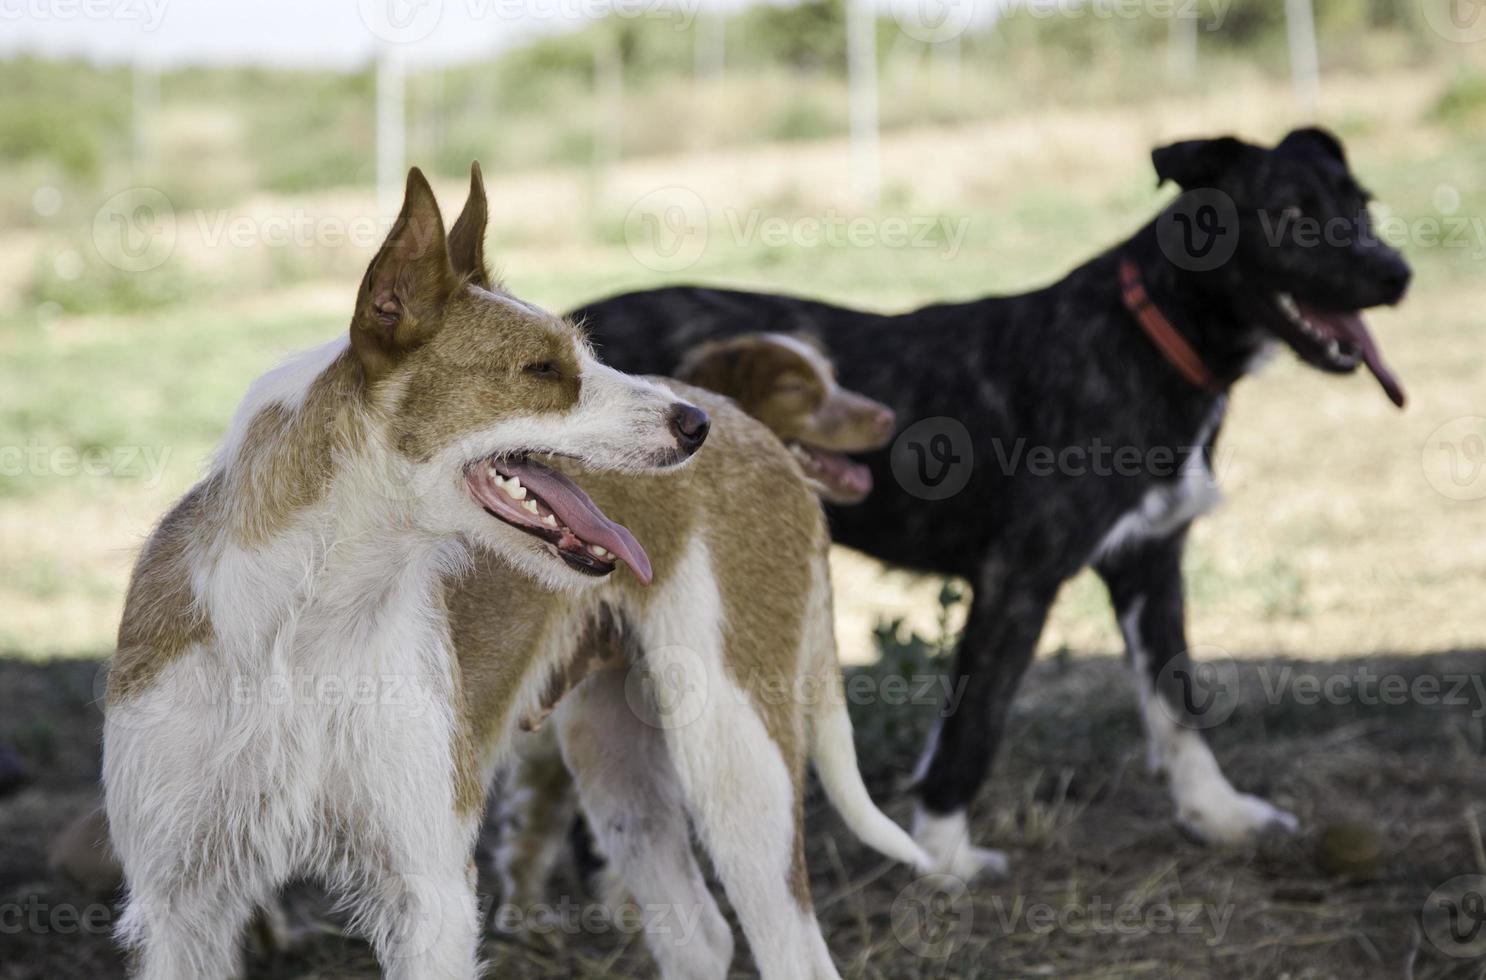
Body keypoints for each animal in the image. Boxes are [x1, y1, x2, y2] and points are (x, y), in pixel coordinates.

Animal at [98, 168, 921, 980]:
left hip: (737, 759)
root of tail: (755, 427)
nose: (695, 427)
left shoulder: (428, 892)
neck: (303, 624)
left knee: (790, 946)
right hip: (615, 757)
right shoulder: (182, 907)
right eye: (543, 369)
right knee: (701, 935)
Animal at [573, 128, 1408, 874]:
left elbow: (1177, 702)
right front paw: (943, 855)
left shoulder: (1150, 560)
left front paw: (1218, 813)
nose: (1397, 275)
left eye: (1362, 204)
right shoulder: (1019, 579)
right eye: (1291, 214)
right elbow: (976, 725)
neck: (1149, 340)